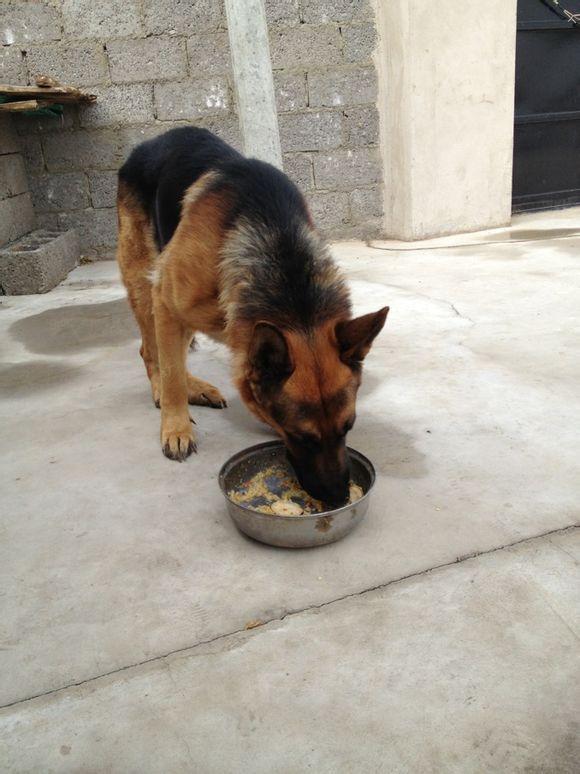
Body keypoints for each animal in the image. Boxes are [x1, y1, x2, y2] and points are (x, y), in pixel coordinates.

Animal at [116, 130, 390, 506]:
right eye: (302, 437)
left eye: (348, 427)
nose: (337, 499)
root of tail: (149, 143)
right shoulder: (166, 301)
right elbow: (171, 376)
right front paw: (175, 428)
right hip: (144, 285)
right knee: (152, 352)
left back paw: (197, 388)